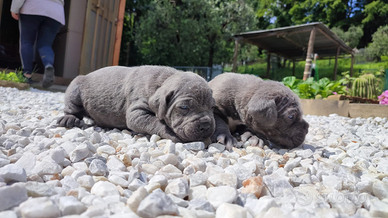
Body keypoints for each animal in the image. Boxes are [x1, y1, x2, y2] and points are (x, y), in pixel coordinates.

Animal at [56, 65, 215, 142]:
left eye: (212, 107)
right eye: (184, 107)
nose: (205, 125)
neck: (163, 80)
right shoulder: (136, 112)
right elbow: (154, 122)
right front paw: (170, 133)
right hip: (76, 88)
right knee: (72, 107)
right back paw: (69, 119)